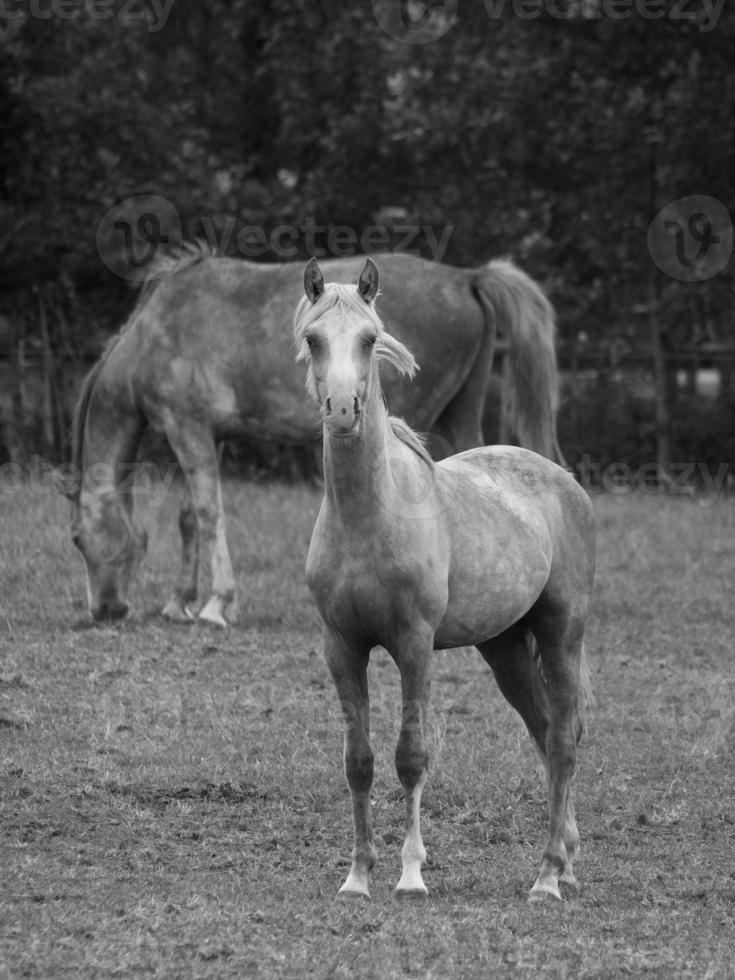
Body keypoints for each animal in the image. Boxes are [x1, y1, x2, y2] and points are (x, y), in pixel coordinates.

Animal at [70, 247, 564, 628]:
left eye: (77, 539)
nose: (106, 610)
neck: (155, 331)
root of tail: (466, 277)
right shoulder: (207, 434)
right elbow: (191, 517)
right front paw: (180, 602)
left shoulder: (186, 428)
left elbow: (210, 514)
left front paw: (216, 604)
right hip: (460, 415)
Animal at [296, 256, 596, 900]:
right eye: (313, 339)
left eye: (370, 338)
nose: (342, 409)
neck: (368, 518)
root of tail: (562, 479)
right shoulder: (342, 648)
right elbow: (359, 761)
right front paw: (357, 876)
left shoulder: (414, 646)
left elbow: (412, 755)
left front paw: (411, 875)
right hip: (504, 648)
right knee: (543, 730)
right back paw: (566, 857)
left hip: (562, 633)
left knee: (563, 740)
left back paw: (547, 879)